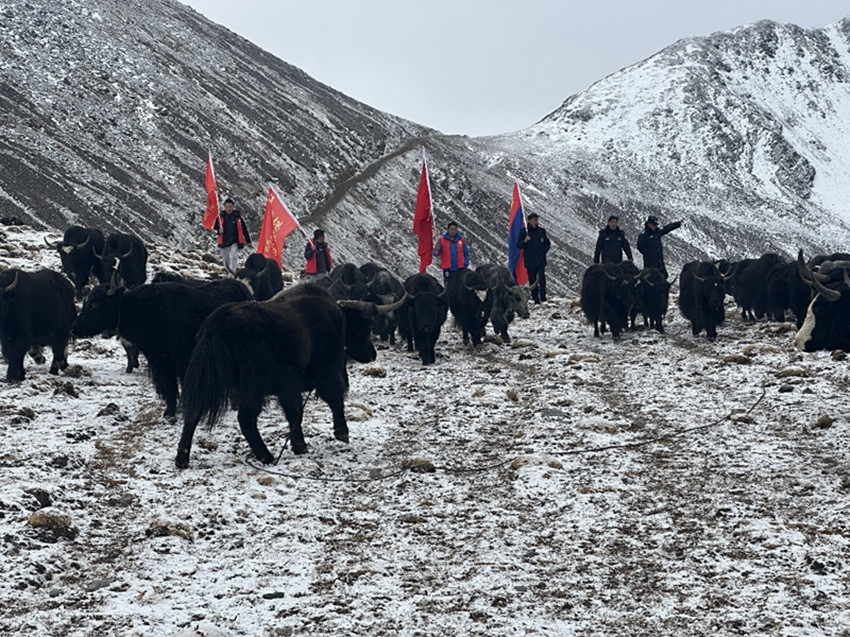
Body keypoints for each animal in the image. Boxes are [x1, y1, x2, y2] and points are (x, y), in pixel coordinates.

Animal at [72, 278, 253, 418]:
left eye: (95, 303)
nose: (74, 328)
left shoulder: (180, 359)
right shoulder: (159, 361)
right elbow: (168, 386)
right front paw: (169, 412)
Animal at [175, 283, 401, 467]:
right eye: (366, 325)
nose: (372, 354)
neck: (335, 320)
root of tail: (217, 323)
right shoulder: (320, 374)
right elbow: (326, 402)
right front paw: (331, 436)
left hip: (209, 378)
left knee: (194, 411)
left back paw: (182, 458)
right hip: (251, 382)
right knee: (246, 418)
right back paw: (266, 456)